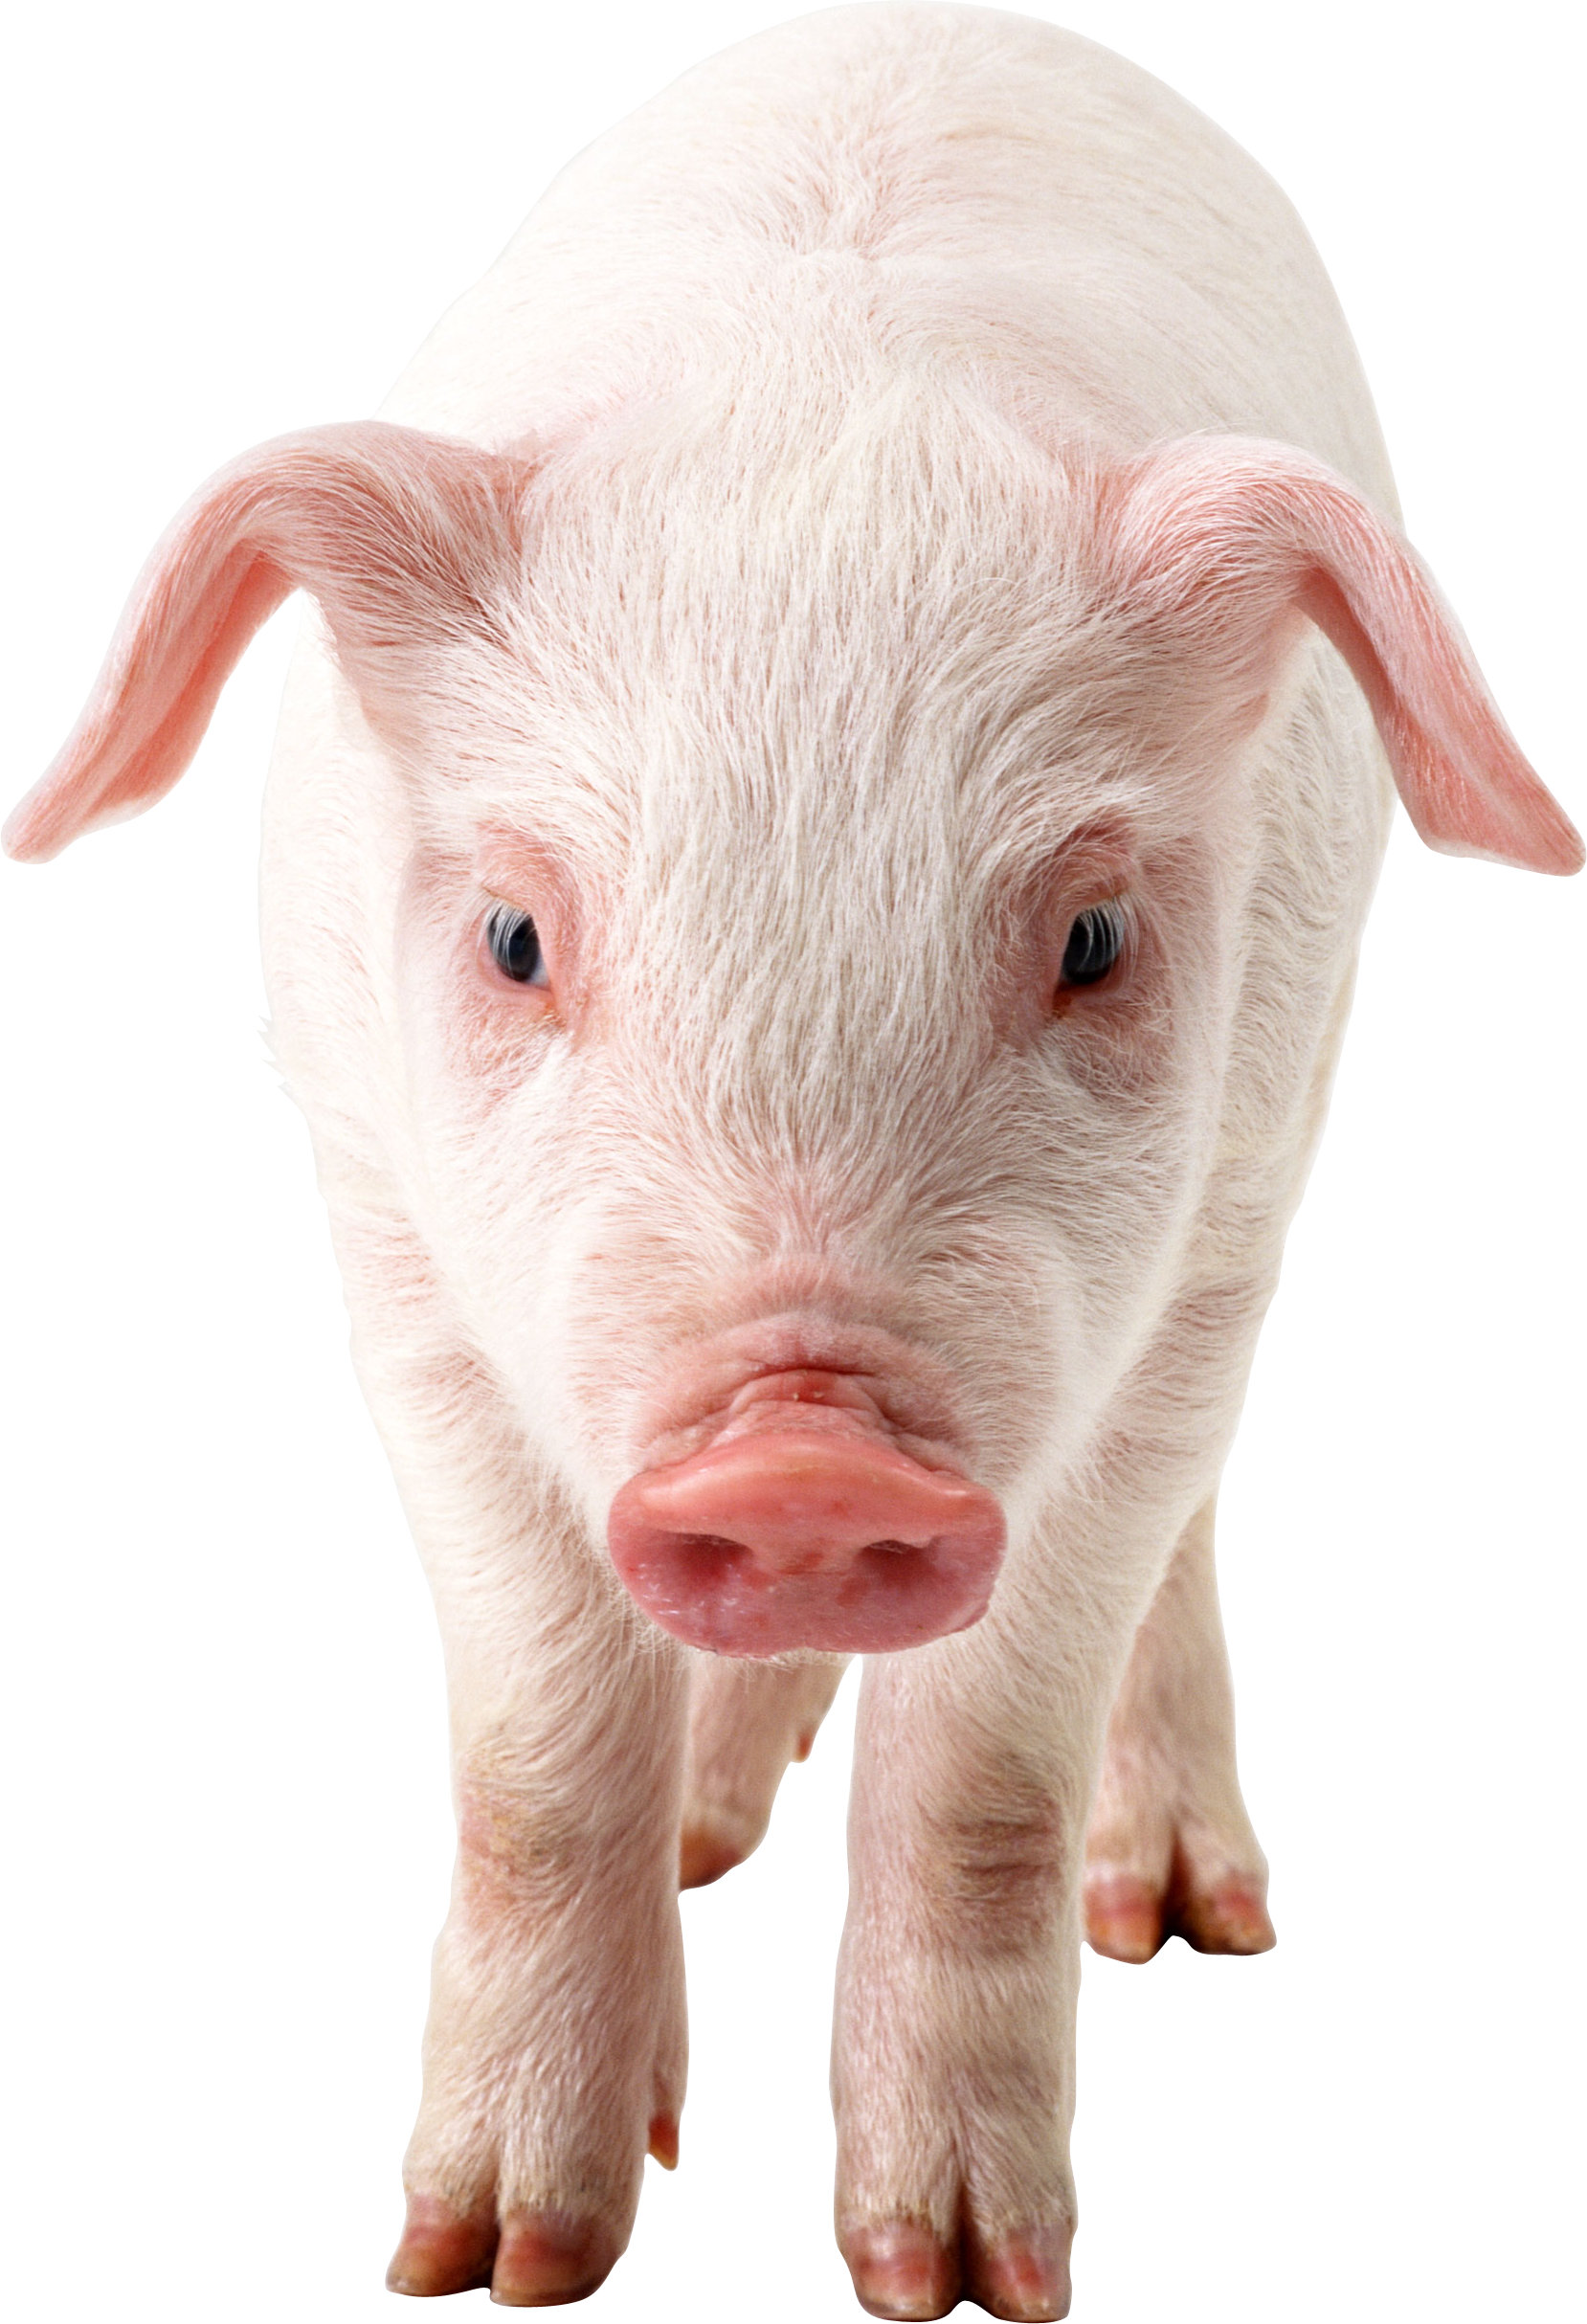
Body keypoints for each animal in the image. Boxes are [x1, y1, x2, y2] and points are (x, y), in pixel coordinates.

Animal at [8, 9, 1580, 2319]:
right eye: (515, 933)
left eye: (1090, 937)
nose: (804, 1453)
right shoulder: (394, 1239)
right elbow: (533, 1747)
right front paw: (487, 2260)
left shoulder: (1191, 1258)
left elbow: (987, 1762)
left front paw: (952, 2281)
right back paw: (705, 1846)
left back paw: (1186, 1923)